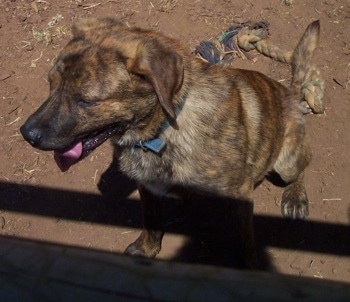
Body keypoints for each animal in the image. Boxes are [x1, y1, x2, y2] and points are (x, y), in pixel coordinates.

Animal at [19, 17, 320, 268]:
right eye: (50, 84)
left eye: (86, 100)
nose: (27, 133)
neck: (160, 132)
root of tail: (291, 93)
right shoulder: (149, 186)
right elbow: (151, 222)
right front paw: (146, 250)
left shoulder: (240, 195)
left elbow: (245, 243)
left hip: (286, 161)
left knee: (302, 168)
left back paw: (295, 197)